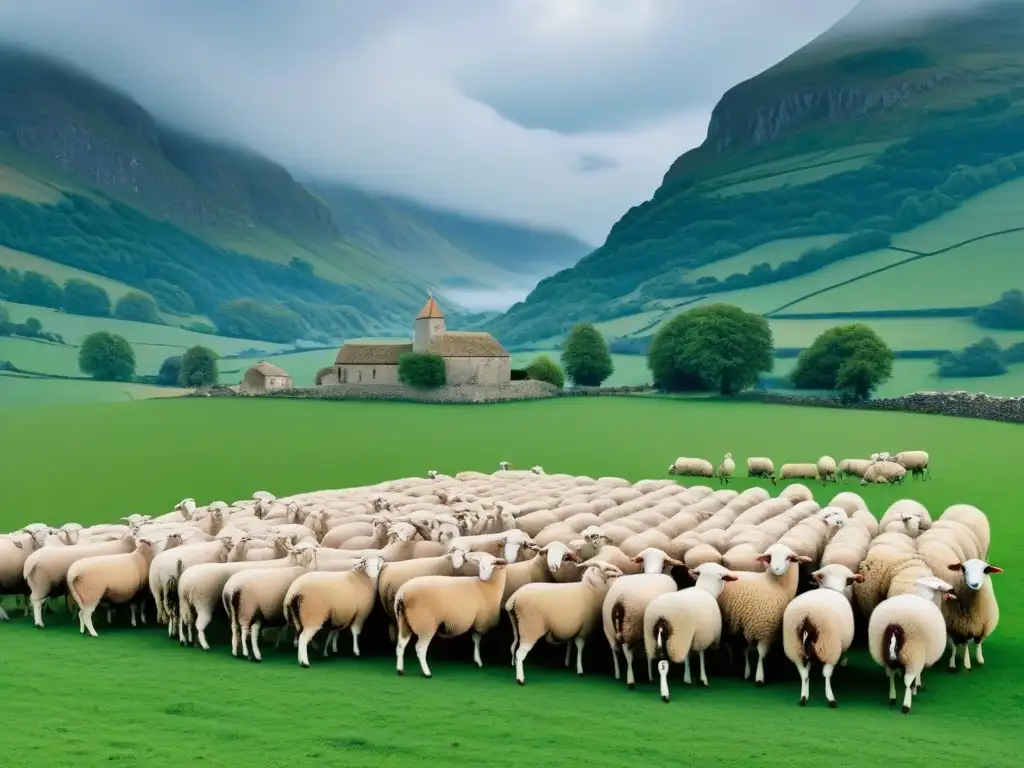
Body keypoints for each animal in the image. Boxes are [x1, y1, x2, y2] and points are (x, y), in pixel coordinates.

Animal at [602, 548, 684, 688]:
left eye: (664, 562)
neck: (652, 572)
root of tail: (618, 603)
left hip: (609, 628)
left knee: (614, 650)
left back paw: (617, 674)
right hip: (631, 628)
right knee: (629, 653)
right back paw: (632, 679)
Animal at [638, 561, 737, 700]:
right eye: (722, 578)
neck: (705, 589)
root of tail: (661, 615)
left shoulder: (690, 636)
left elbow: (688, 656)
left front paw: (687, 677)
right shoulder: (702, 636)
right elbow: (701, 655)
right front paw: (703, 679)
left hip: (652, 637)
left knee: (651, 658)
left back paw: (651, 678)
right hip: (676, 638)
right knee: (663, 664)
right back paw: (665, 693)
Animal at [716, 540, 811, 684]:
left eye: (788, 558)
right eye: (769, 557)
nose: (776, 568)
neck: (776, 585)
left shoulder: (747, 625)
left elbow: (746, 650)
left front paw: (746, 672)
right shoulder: (764, 627)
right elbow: (761, 653)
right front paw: (759, 677)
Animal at [782, 565, 864, 708]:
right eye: (850, 581)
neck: (832, 587)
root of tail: (808, 615)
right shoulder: (841, 644)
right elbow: (843, 654)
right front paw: (843, 662)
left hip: (794, 645)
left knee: (803, 672)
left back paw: (804, 696)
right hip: (828, 645)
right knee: (826, 674)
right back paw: (830, 698)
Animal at [868, 577, 954, 716]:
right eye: (940, 585)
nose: (952, 589)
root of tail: (895, 625)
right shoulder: (921, 654)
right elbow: (918, 673)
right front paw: (917, 686)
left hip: (886, 652)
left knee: (891, 674)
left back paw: (892, 697)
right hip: (912, 652)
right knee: (907, 680)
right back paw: (906, 705)